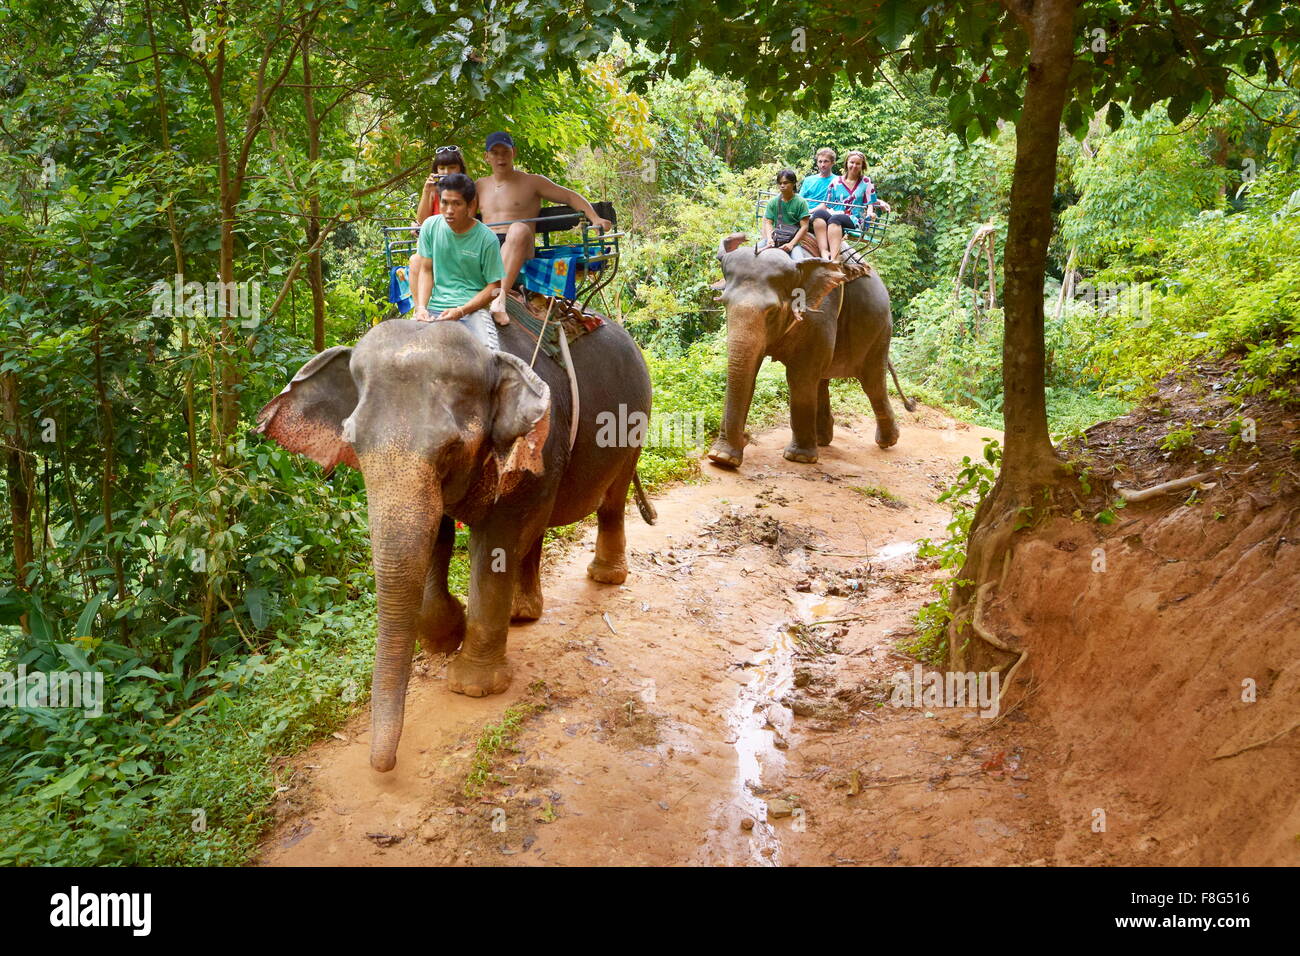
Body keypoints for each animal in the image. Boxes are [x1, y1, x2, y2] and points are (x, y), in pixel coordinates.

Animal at [254, 315, 652, 771]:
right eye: (352, 444)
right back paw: (521, 614)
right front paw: (447, 635)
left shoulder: (531, 441)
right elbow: (436, 538)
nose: (383, 767)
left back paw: (605, 577)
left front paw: (474, 686)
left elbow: (497, 541)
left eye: (450, 449)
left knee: (611, 500)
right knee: (540, 526)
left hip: (633, 425)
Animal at [706, 233, 914, 469]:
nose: (747, 437)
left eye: (772, 311)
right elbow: (750, 373)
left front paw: (799, 458)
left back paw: (887, 442)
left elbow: (800, 376)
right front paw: (722, 458)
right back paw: (823, 440)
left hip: (880, 329)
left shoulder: (819, 311)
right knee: (824, 379)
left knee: (872, 382)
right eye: (724, 304)